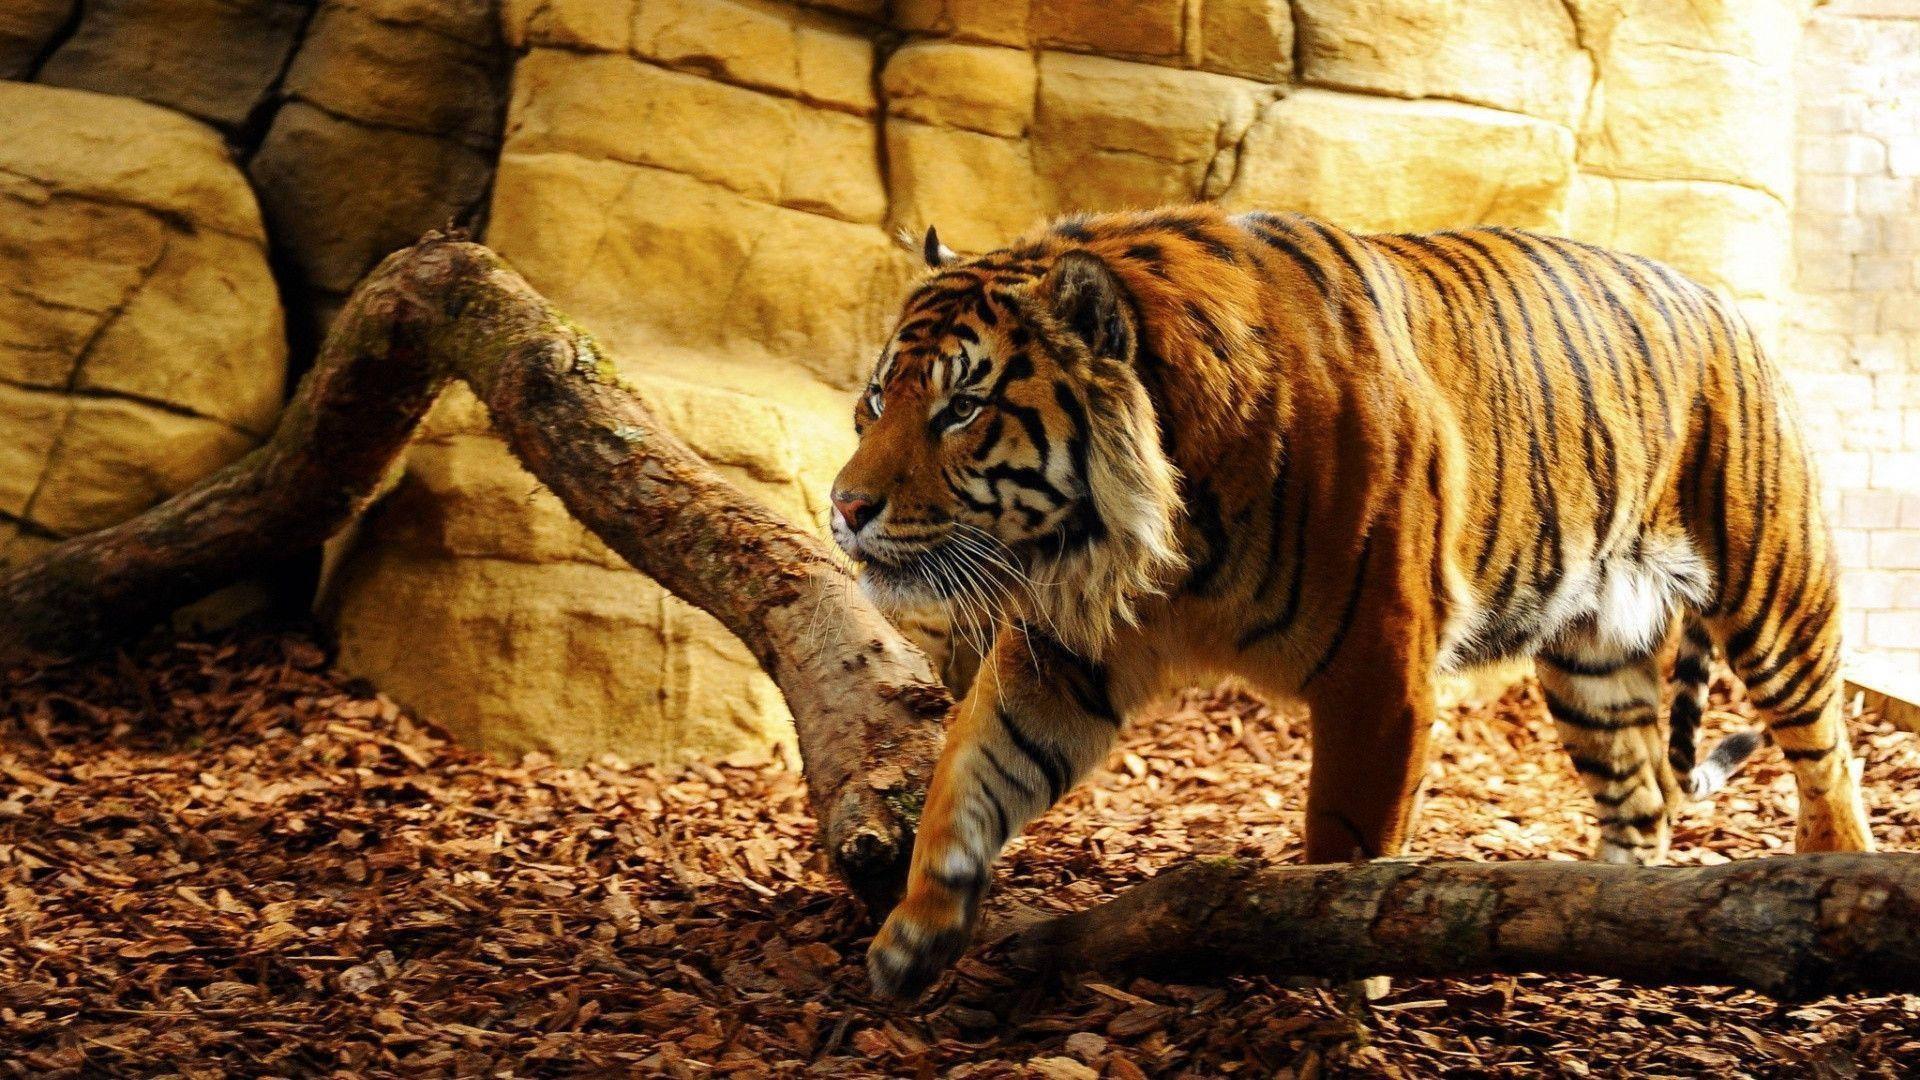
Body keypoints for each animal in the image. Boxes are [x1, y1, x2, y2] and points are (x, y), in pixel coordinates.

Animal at [827, 205, 1875, 1000]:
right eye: (876, 400)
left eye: (962, 409)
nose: (843, 507)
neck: (1151, 537)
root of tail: (1723, 302)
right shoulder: (1065, 650)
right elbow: (971, 769)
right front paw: (914, 934)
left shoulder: (1378, 672)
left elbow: (1342, 846)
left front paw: (1329, 986)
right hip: (1592, 658)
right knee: (1644, 794)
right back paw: (1603, 919)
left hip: (1775, 593)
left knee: (1828, 753)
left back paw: (1828, 872)